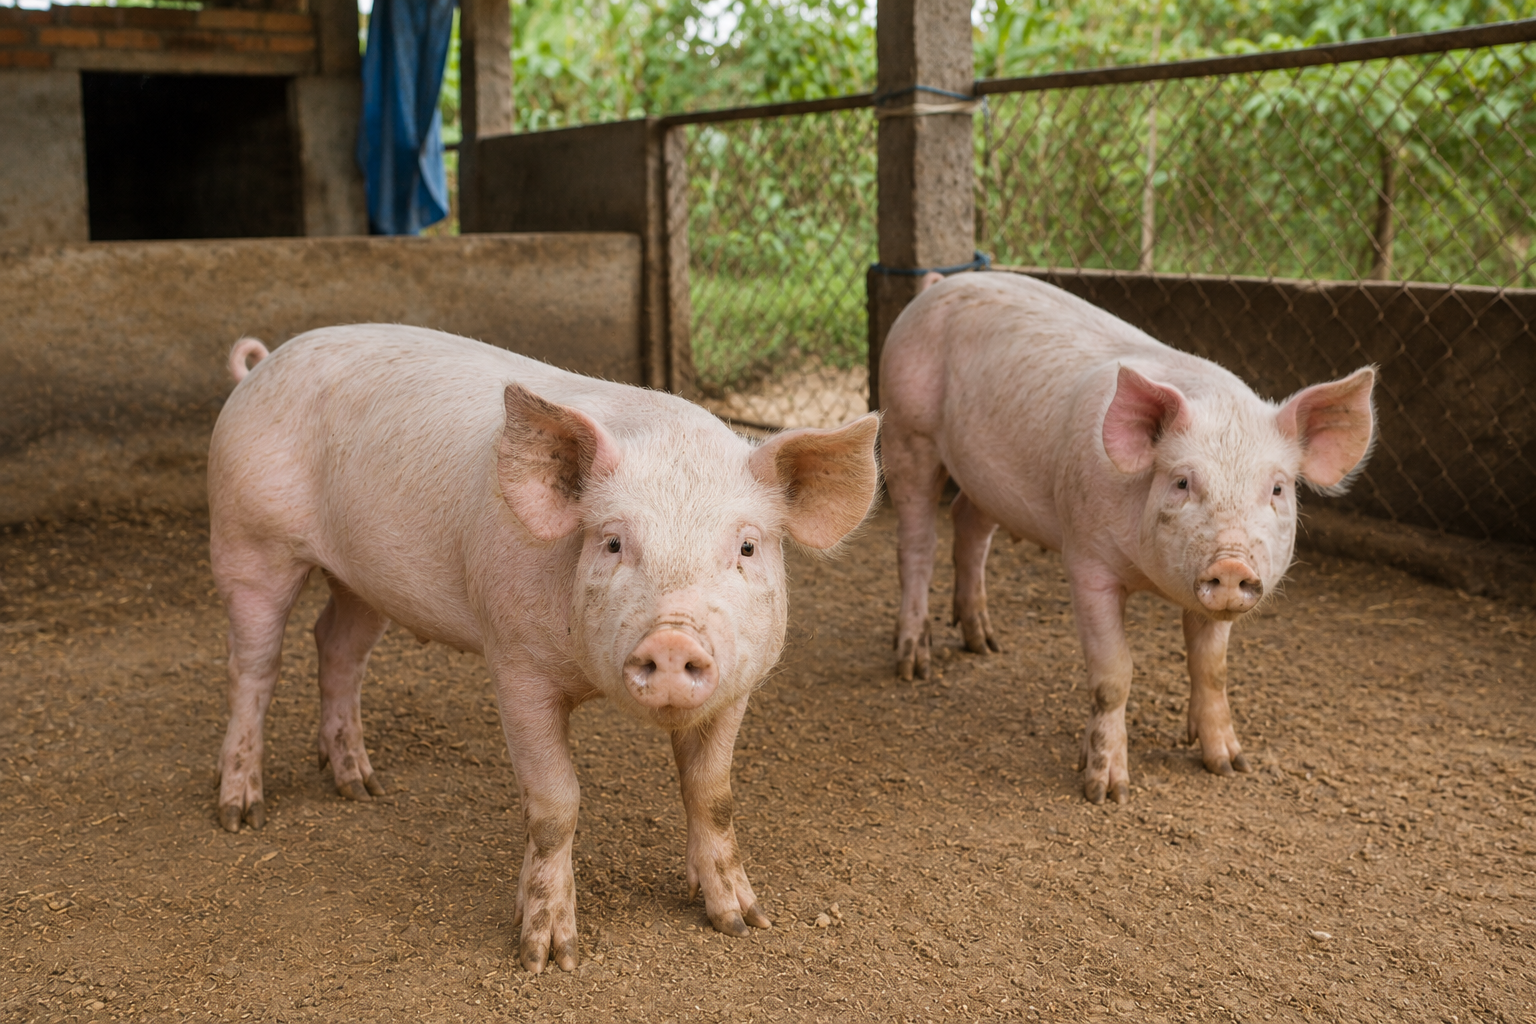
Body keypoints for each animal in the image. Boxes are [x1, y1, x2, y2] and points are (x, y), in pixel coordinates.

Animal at [207, 325, 879, 971]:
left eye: (746, 546)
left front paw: (740, 919)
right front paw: (548, 956)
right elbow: (555, 805)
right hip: (248, 538)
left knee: (337, 646)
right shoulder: (515, 664)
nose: (671, 638)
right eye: (612, 542)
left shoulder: (738, 684)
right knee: (252, 667)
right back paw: (240, 811)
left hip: (363, 582)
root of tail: (263, 367)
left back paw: (359, 785)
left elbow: (712, 794)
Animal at [879, 273, 1375, 804]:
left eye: (1278, 488)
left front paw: (1228, 764)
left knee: (968, 523)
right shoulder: (1086, 562)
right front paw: (1107, 790)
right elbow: (1112, 674)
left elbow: (1212, 669)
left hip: (987, 479)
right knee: (917, 541)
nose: (1232, 563)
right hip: (906, 430)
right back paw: (914, 664)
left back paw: (986, 644)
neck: (1148, 581)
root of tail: (941, 282)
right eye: (1181, 482)